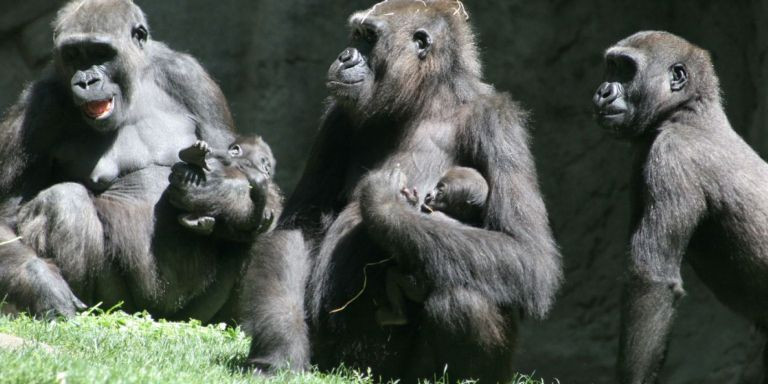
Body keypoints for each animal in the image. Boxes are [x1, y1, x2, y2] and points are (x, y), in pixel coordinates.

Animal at [0, 0, 276, 324]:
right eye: (73, 55)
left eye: (100, 53)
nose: (86, 81)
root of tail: (158, 316)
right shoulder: (39, 107)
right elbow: (7, 212)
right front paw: (41, 282)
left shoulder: (191, 77)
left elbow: (239, 161)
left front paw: (215, 194)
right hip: (120, 307)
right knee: (64, 201)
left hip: (195, 315)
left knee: (262, 217)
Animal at [376, 166, 488, 326]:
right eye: (436, 186)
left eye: (440, 192)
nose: (429, 194)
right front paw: (413, 200)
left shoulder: (436, 214)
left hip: (416, 289)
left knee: (393, 275)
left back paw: (397, 316)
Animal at [592, 30, 768, 384]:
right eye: (611, 67)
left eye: (626, 70)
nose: (603, 91)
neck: (689, 110)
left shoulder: (672, 154)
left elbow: (652, 280)